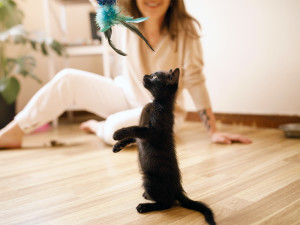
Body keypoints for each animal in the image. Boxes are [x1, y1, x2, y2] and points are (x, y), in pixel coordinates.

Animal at [112, 68, 216, 225]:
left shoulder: (152, 132)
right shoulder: (142, 136)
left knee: (166, 203)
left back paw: (145, 206)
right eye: (151, 74)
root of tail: (178, 188)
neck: (156, 104)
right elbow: (133, 136)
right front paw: (118, 145)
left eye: (155, 77)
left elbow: (135, 128)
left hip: (149, 180)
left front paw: (118, 133)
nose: (145, 75)